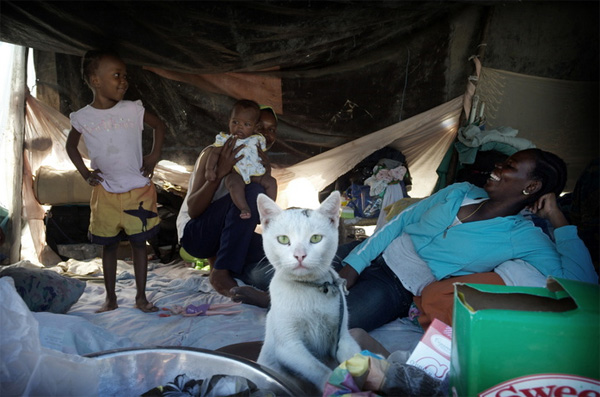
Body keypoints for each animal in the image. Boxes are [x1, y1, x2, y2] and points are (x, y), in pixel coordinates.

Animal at [254, 191, 358, 390]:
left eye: (316, 238)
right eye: (283, 239)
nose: (300, 255)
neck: (309, 288)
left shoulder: (343, 336)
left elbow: (355, 355)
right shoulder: (288, 346)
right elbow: (318, 369)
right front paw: (333, 385)